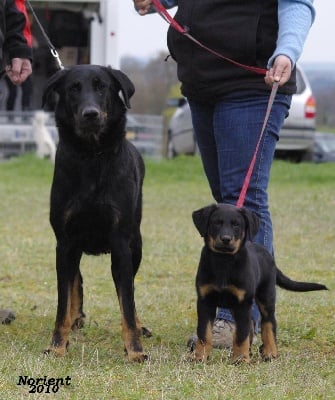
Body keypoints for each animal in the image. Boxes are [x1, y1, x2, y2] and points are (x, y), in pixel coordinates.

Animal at [42, 65, 151, 362]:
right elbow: (62, 299)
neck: (91, 155)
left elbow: (127, 301)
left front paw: (135, 350)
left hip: (136, 243)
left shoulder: (121, 244)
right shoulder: (65, 242)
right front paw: (57, 345)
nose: (90, 114)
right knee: (74, 279)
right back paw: (75, 318)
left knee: (129, 287)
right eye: (73, 89)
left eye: (102, 87)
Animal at [192, 205, 328, 364]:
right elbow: (204, 333)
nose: (226, 239)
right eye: (216, 223)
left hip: (266, 296)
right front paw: (199, 357)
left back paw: (270, 352)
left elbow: (241, 335)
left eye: (236, 225)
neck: (224, 262)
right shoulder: (205, 301)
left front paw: (240, 359)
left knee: (268, 323)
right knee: (251, 323)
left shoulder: (242, 302)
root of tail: (269, 256)